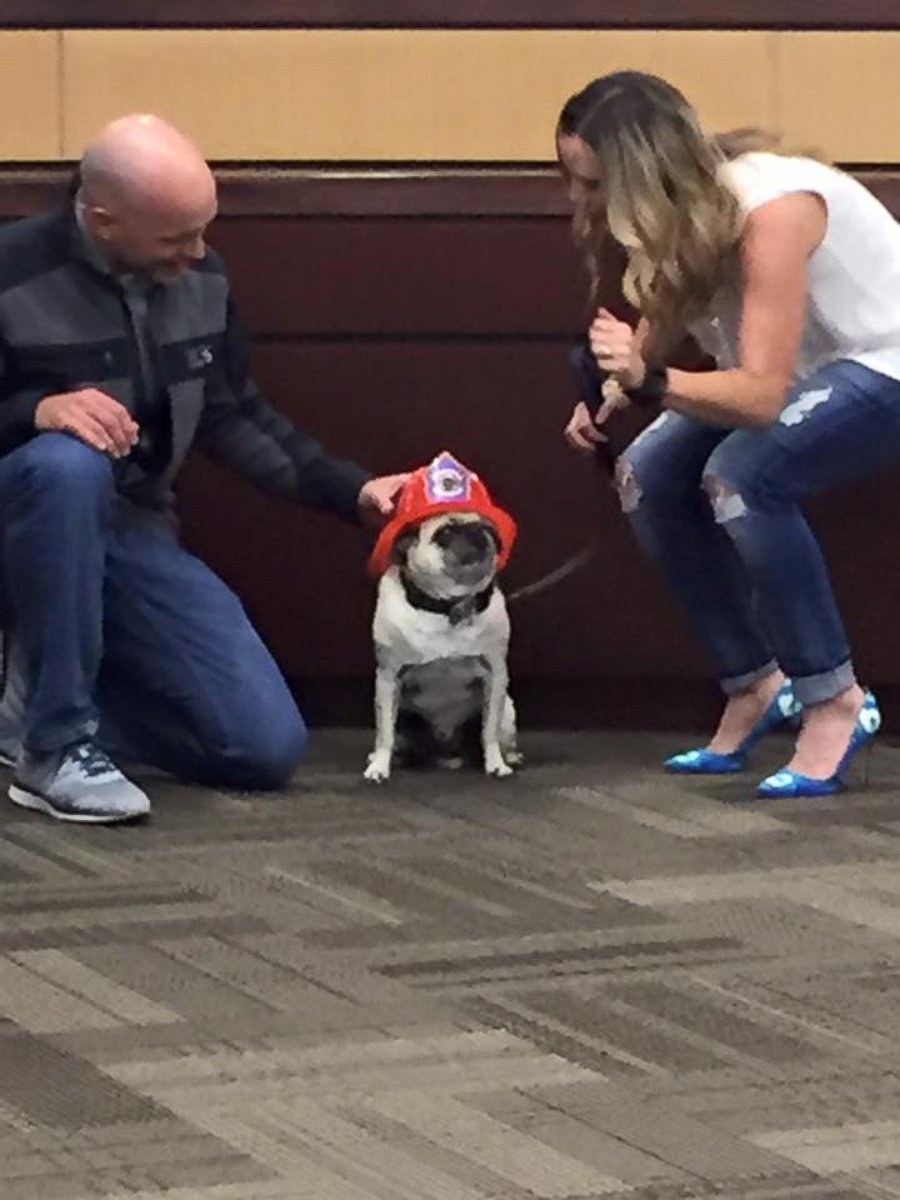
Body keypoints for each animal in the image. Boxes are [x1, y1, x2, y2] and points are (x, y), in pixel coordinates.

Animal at [367, 453, 520, 782]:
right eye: (445, 533)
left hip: (509, 712)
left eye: (490, 529)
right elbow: (384, 734)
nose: (479, 533)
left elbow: (488, 731)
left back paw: (509, 757)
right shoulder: (388, 677)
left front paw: (495, 764)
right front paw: (379, 767)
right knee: (395, 739)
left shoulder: (495, 675)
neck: (450, 606)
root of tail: (444, 753)